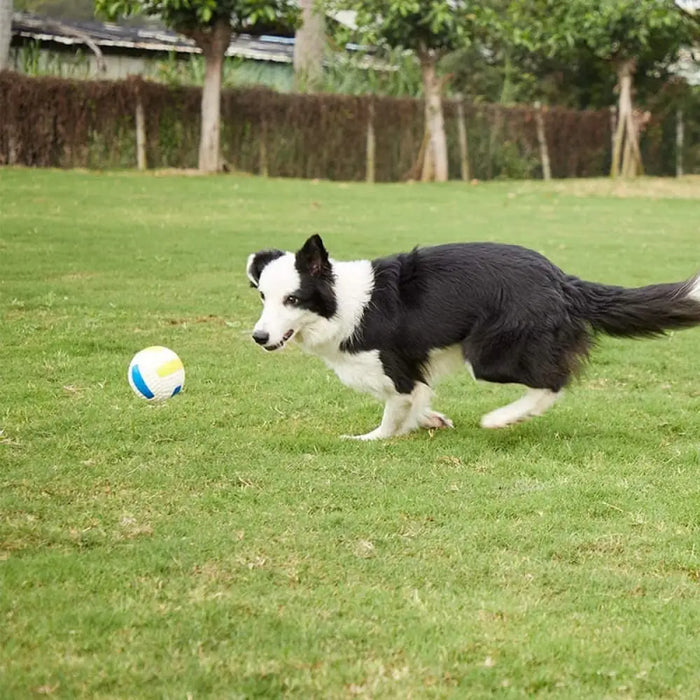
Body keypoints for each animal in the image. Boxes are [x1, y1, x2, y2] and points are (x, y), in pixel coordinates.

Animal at [247, 238, 700, 440]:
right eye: (263, 295)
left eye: (293, 299)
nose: (259, 336)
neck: (342, 300)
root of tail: (560, 280)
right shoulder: (416, 366)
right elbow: (415, 398)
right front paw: (429, 419)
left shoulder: (395, 365)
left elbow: (394, 408)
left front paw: (372, 439)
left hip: (488, 354)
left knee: (554, 382)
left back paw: (504, 417)